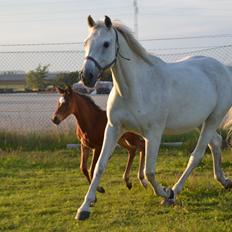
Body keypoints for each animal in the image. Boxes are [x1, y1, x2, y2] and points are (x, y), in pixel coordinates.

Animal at [76, 15, 232, 220]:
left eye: (106, 44)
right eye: (86, 43)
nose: (86, 76)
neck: (134, 90)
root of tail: (225, 69)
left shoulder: (154, 134)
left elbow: (149, 172)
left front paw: (166, 193)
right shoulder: (113, 128)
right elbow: (100, 166)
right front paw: (84, 207)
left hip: (213, 119)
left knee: (196, 155)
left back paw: (174, 192)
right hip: (201, 122)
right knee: (215, 143)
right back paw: (224, 181)